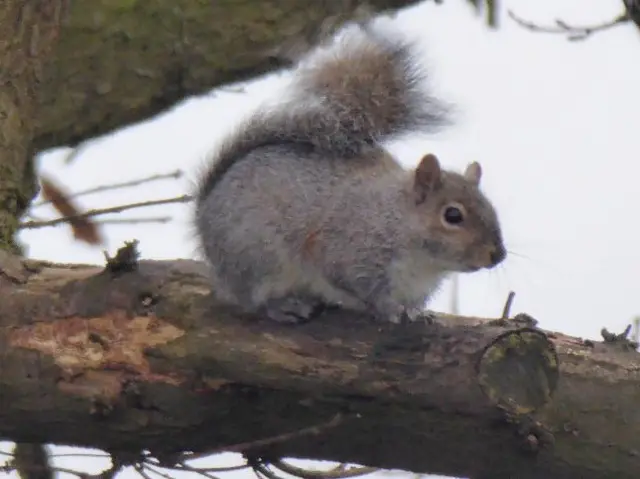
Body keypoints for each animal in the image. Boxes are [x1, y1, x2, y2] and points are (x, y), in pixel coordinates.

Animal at [194, 20, 504, 324]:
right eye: (452, 215)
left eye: (491, 208)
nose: (497, 255)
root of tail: (203, 219)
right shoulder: (348, 253)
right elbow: (352, 283)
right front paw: (389, 309)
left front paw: (419, 312)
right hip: (257, 256)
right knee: (253, 299)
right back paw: (283, 306)